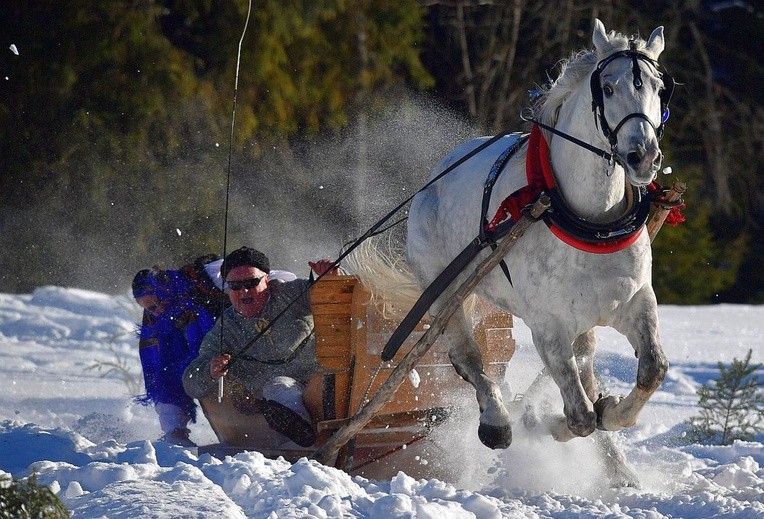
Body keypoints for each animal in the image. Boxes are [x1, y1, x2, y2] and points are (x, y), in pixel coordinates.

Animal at [402, 19, 672, 476]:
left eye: (657, 87)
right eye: (609, 88)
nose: (643, 156)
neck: (591, 222)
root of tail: (436, 174)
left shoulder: (636, 301)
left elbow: (651, 370)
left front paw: (615, 412)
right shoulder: (548, 327)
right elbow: (579, 417)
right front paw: (539, 420)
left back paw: (619, 469)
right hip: (444, 292)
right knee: (467, 356)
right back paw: (497, 422)